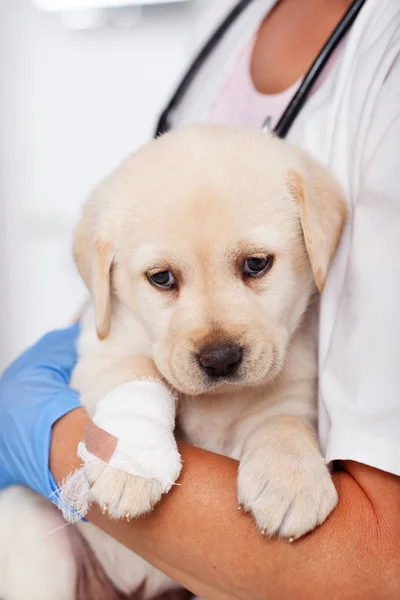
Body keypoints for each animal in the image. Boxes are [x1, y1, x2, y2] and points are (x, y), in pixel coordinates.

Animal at [0, 123, 344, 600]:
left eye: (256, 264)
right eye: (161, 278)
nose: (220, 359)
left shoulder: (296, 382)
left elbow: (284, 421)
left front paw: (291, 478)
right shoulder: (101, 347)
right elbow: (138, 371)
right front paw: (129, 464)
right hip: (28, 521)